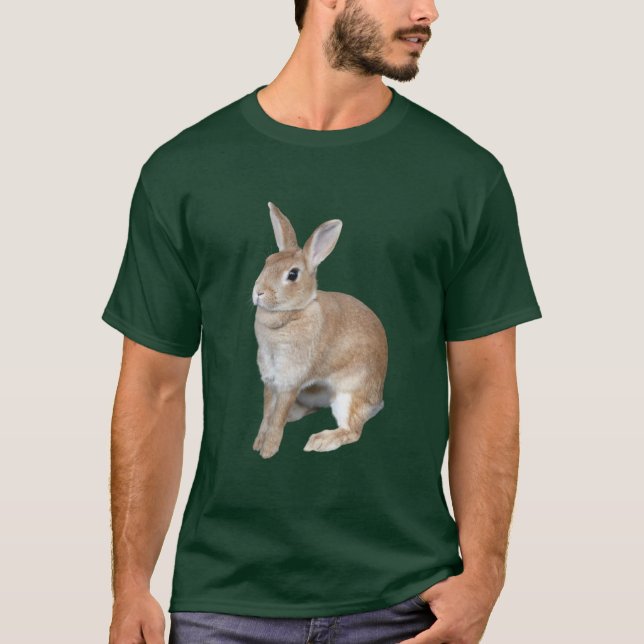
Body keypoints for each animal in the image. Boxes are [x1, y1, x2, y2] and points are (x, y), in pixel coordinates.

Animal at [251, 201, 388, 459]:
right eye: (268, 261)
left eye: (292, 274)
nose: (258, 292)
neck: (292, 313)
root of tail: (377, 400)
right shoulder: (270, 379)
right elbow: (266, 414)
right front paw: (258, 443)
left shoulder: (288, 380)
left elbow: (275, 417)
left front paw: (268, 451)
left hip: (347, 395)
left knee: (352, 430)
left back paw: (320, 441)